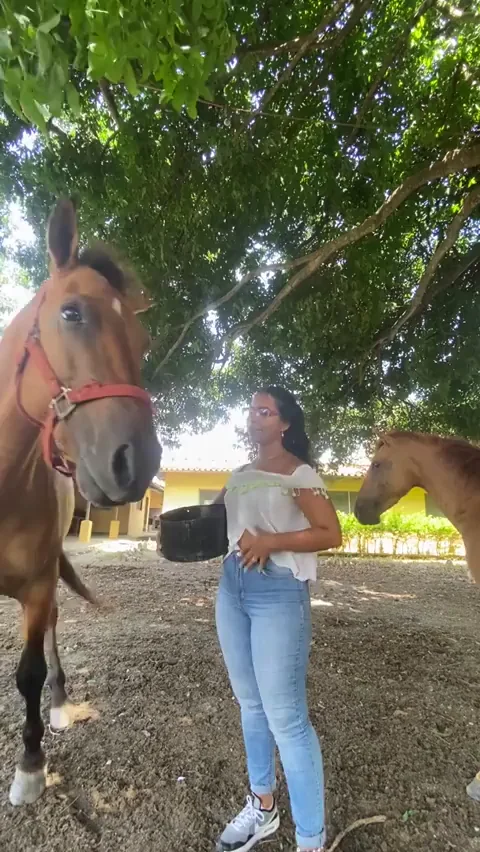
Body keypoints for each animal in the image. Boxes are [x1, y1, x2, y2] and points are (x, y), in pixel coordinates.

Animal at [0, 198, 161, 807]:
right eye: (71, 313)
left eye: (142, 341)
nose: (137, 460)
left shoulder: (38, 585)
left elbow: (28, 673)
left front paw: (30, 765)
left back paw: (61, 700)